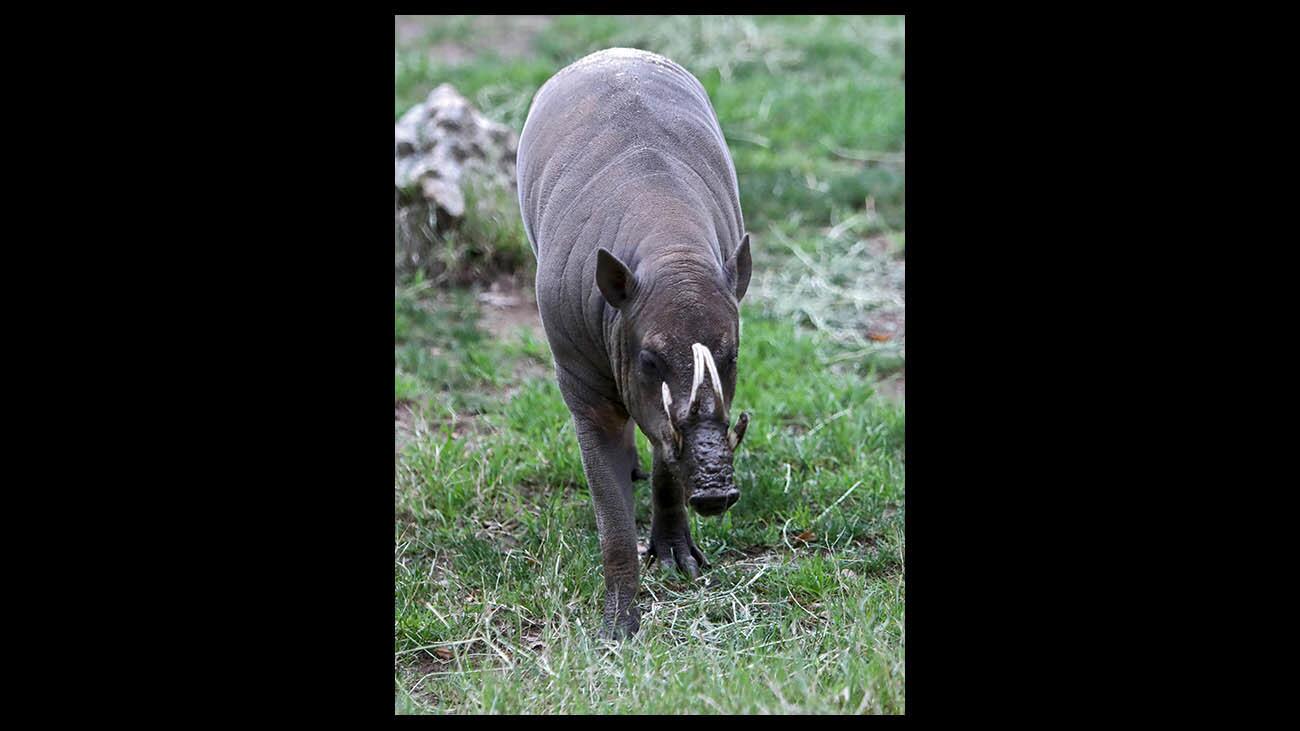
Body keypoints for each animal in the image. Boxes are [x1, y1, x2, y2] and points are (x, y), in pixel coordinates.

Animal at [512, 48, 748, 634]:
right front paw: (619, 625)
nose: (716, 494)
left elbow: (667, 455)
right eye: (648, 359)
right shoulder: (583, 380)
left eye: (730, 356)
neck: (670, 250)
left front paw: (678, 558)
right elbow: (612, 514)